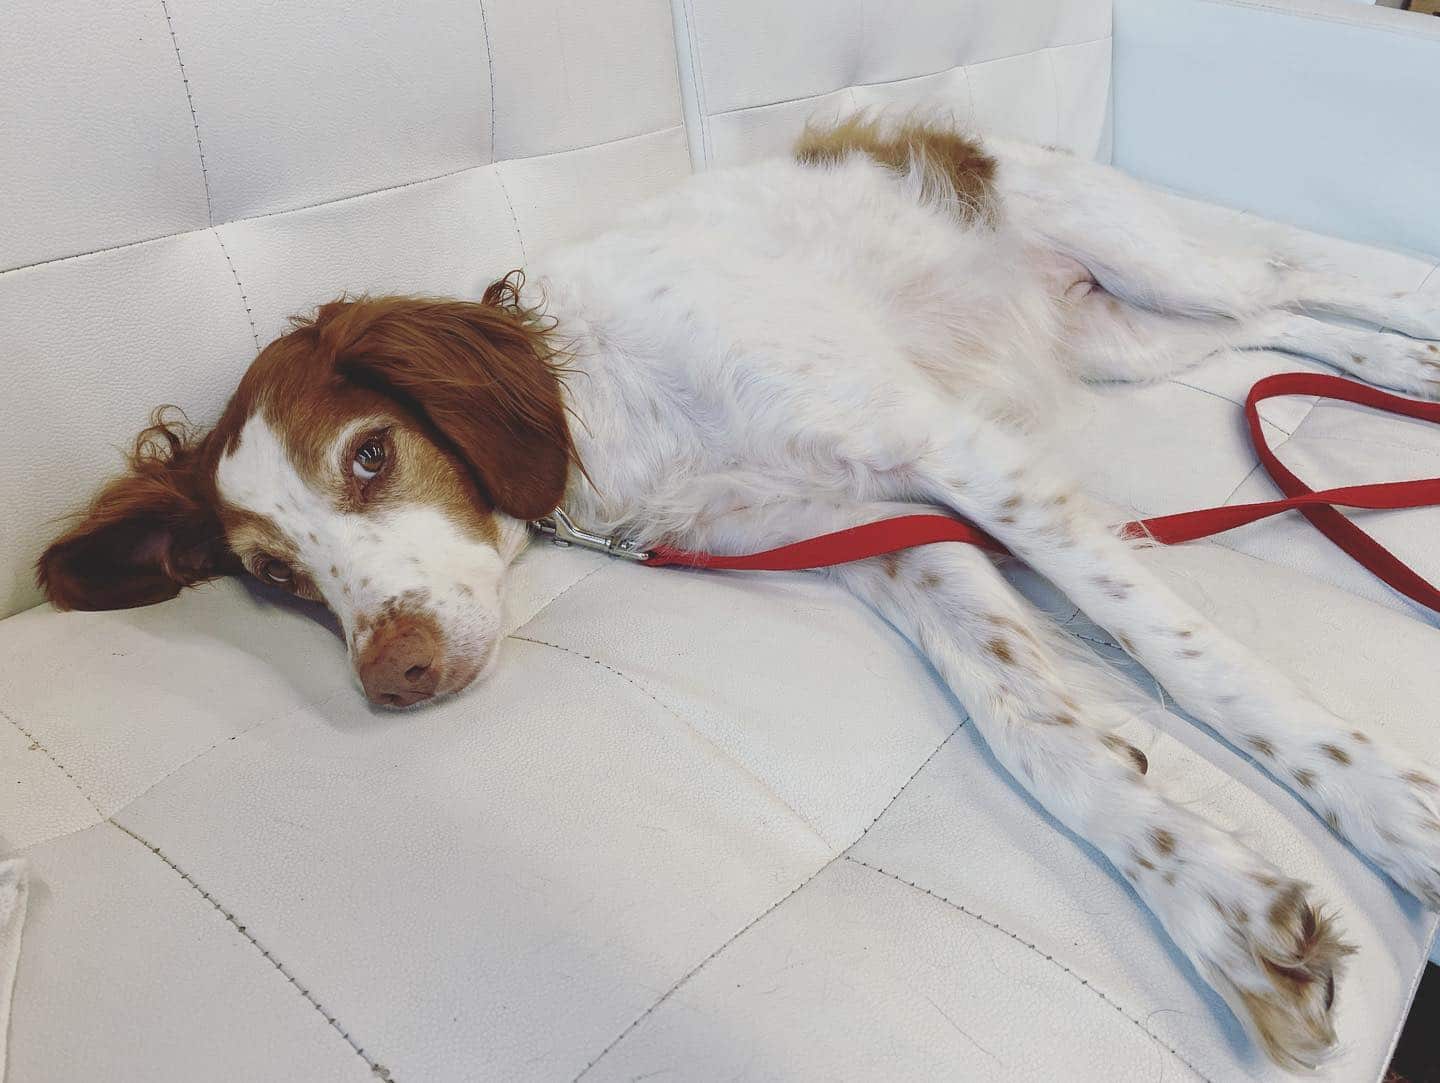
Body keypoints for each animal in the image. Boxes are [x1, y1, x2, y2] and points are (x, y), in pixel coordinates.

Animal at [33, 116, 1440, 1065]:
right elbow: (1029, 727)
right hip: (1120, 342)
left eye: (370, 457)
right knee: (1277, 331)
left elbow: (1185, 654)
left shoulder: (945, 449)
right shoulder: (875, 530)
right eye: (276, 575)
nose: (396, 674)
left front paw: (1393, 815)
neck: (612, 414)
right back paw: (1404, 377)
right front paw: (1215, 900)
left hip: (1146, 264)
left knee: (1295, 279)